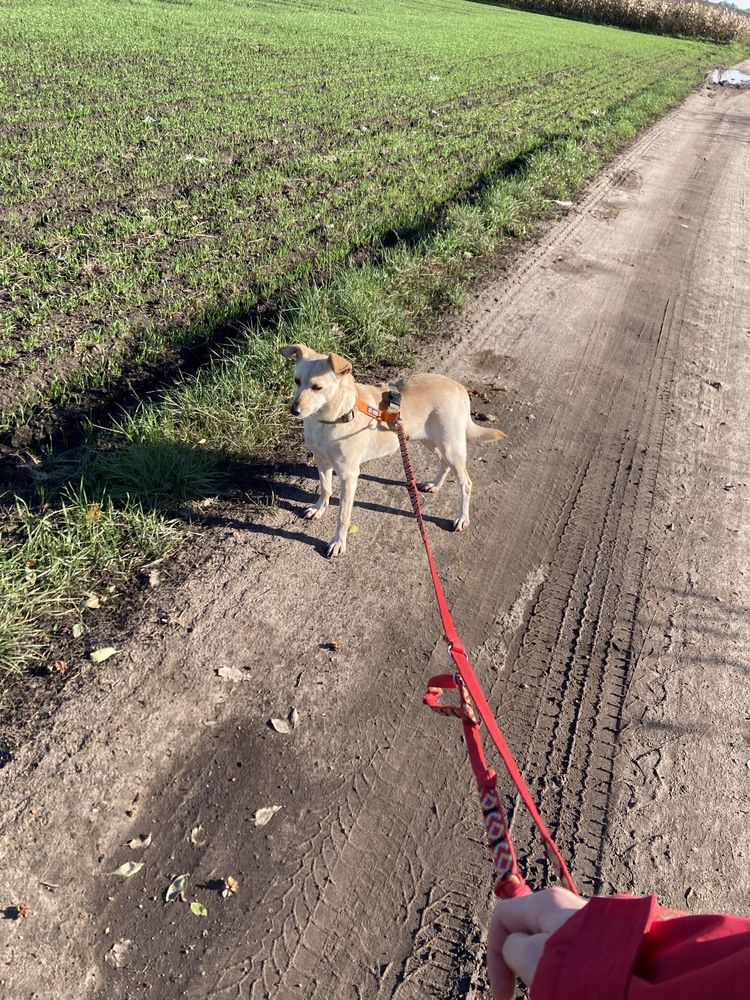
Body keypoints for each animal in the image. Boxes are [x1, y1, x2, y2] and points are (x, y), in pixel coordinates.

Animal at [280, 346, 508, 560]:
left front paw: (338, 542)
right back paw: (435, 484)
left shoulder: (348, 475)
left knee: (466, 484)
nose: (293, 410)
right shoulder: (322, 461)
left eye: (317, 387)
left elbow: (343, 516)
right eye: (297, 381)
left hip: (450, 447)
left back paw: (462, 517)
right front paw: (319, 508)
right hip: (431, 441)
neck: (331, 418)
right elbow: (325, 489)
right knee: (444, 463)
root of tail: (459, 387)